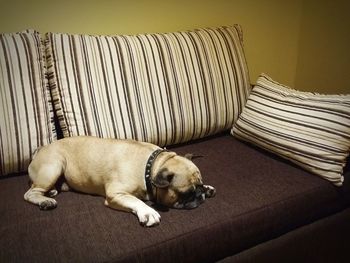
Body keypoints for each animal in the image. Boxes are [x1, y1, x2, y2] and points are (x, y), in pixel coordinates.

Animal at [23, 136, 216, 227]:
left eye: (198, 186)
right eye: (187, 193)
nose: (200, 195)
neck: (150, 167)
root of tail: (40, 149)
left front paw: (207, 188)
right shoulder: (116, 194)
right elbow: (135, 200)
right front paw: (148, 211)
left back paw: (52, 191)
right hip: (54, 165)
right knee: (30, 193)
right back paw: (46, 201)